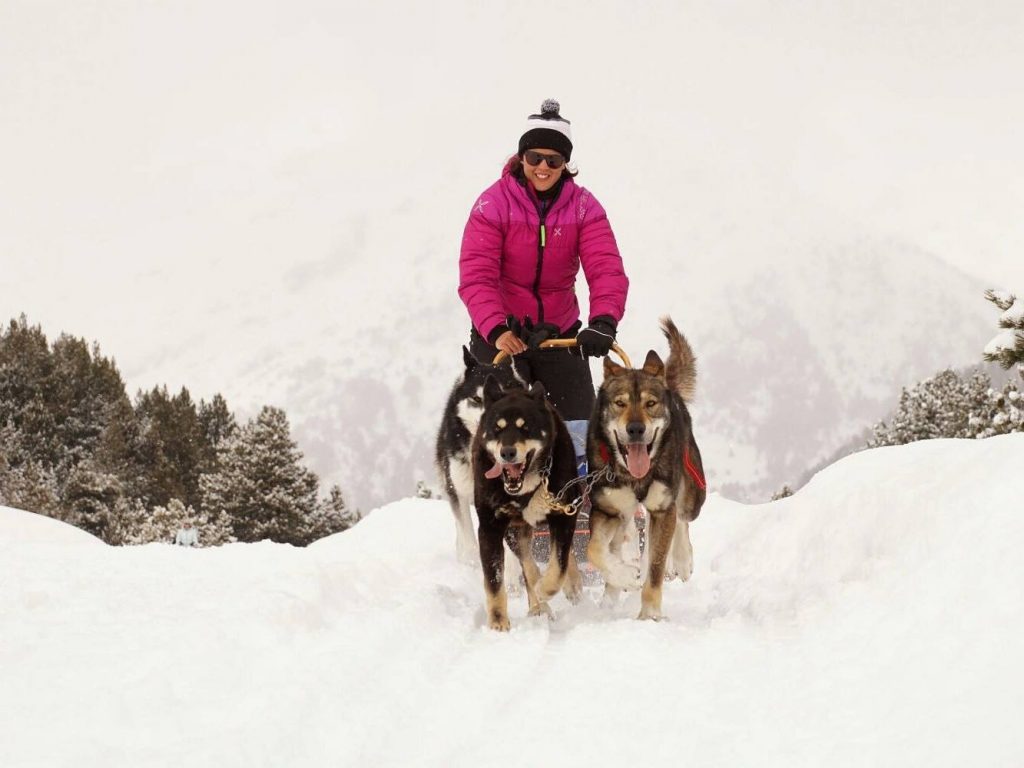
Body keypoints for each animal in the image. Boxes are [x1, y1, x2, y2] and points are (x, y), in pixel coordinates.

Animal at [473, 376, 585, 634]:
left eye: (526, 428)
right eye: (497, 428)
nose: (507, 452)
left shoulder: (564, 515)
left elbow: (559, 564)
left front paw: (547, 588)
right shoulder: (490, 528)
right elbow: (494, 579)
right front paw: (497, 621)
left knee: (563, 556)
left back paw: (566, 586)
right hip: (515, 531)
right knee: (528, 565)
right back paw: (538, 606)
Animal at [585, 315, 704, 622]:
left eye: (650, 403)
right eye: (620, 403)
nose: (636, 429)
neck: (635, 476)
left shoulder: (662, 508)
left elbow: (656, 570)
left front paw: (649, 615)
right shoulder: (607, 509)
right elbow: (594, 550)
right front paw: (623, 576)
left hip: (692, 495)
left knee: (681, 519)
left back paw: (682, 560)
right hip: (626, 514)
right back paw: (612, 592)